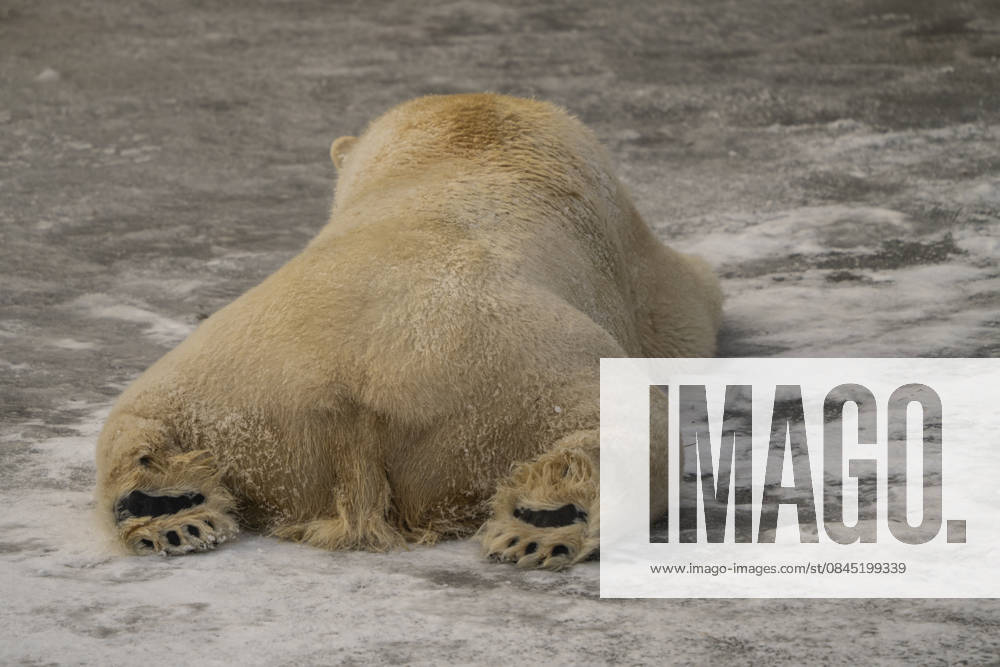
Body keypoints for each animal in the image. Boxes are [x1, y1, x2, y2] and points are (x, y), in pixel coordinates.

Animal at [94, 93, 722, 569]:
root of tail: (353, 402)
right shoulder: (624, 241)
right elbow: (687, 308)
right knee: (636, 425)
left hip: (227, 386)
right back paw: (546, 523)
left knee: (143, 417)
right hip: (520, 384)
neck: (466, 139)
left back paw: (166, 509)